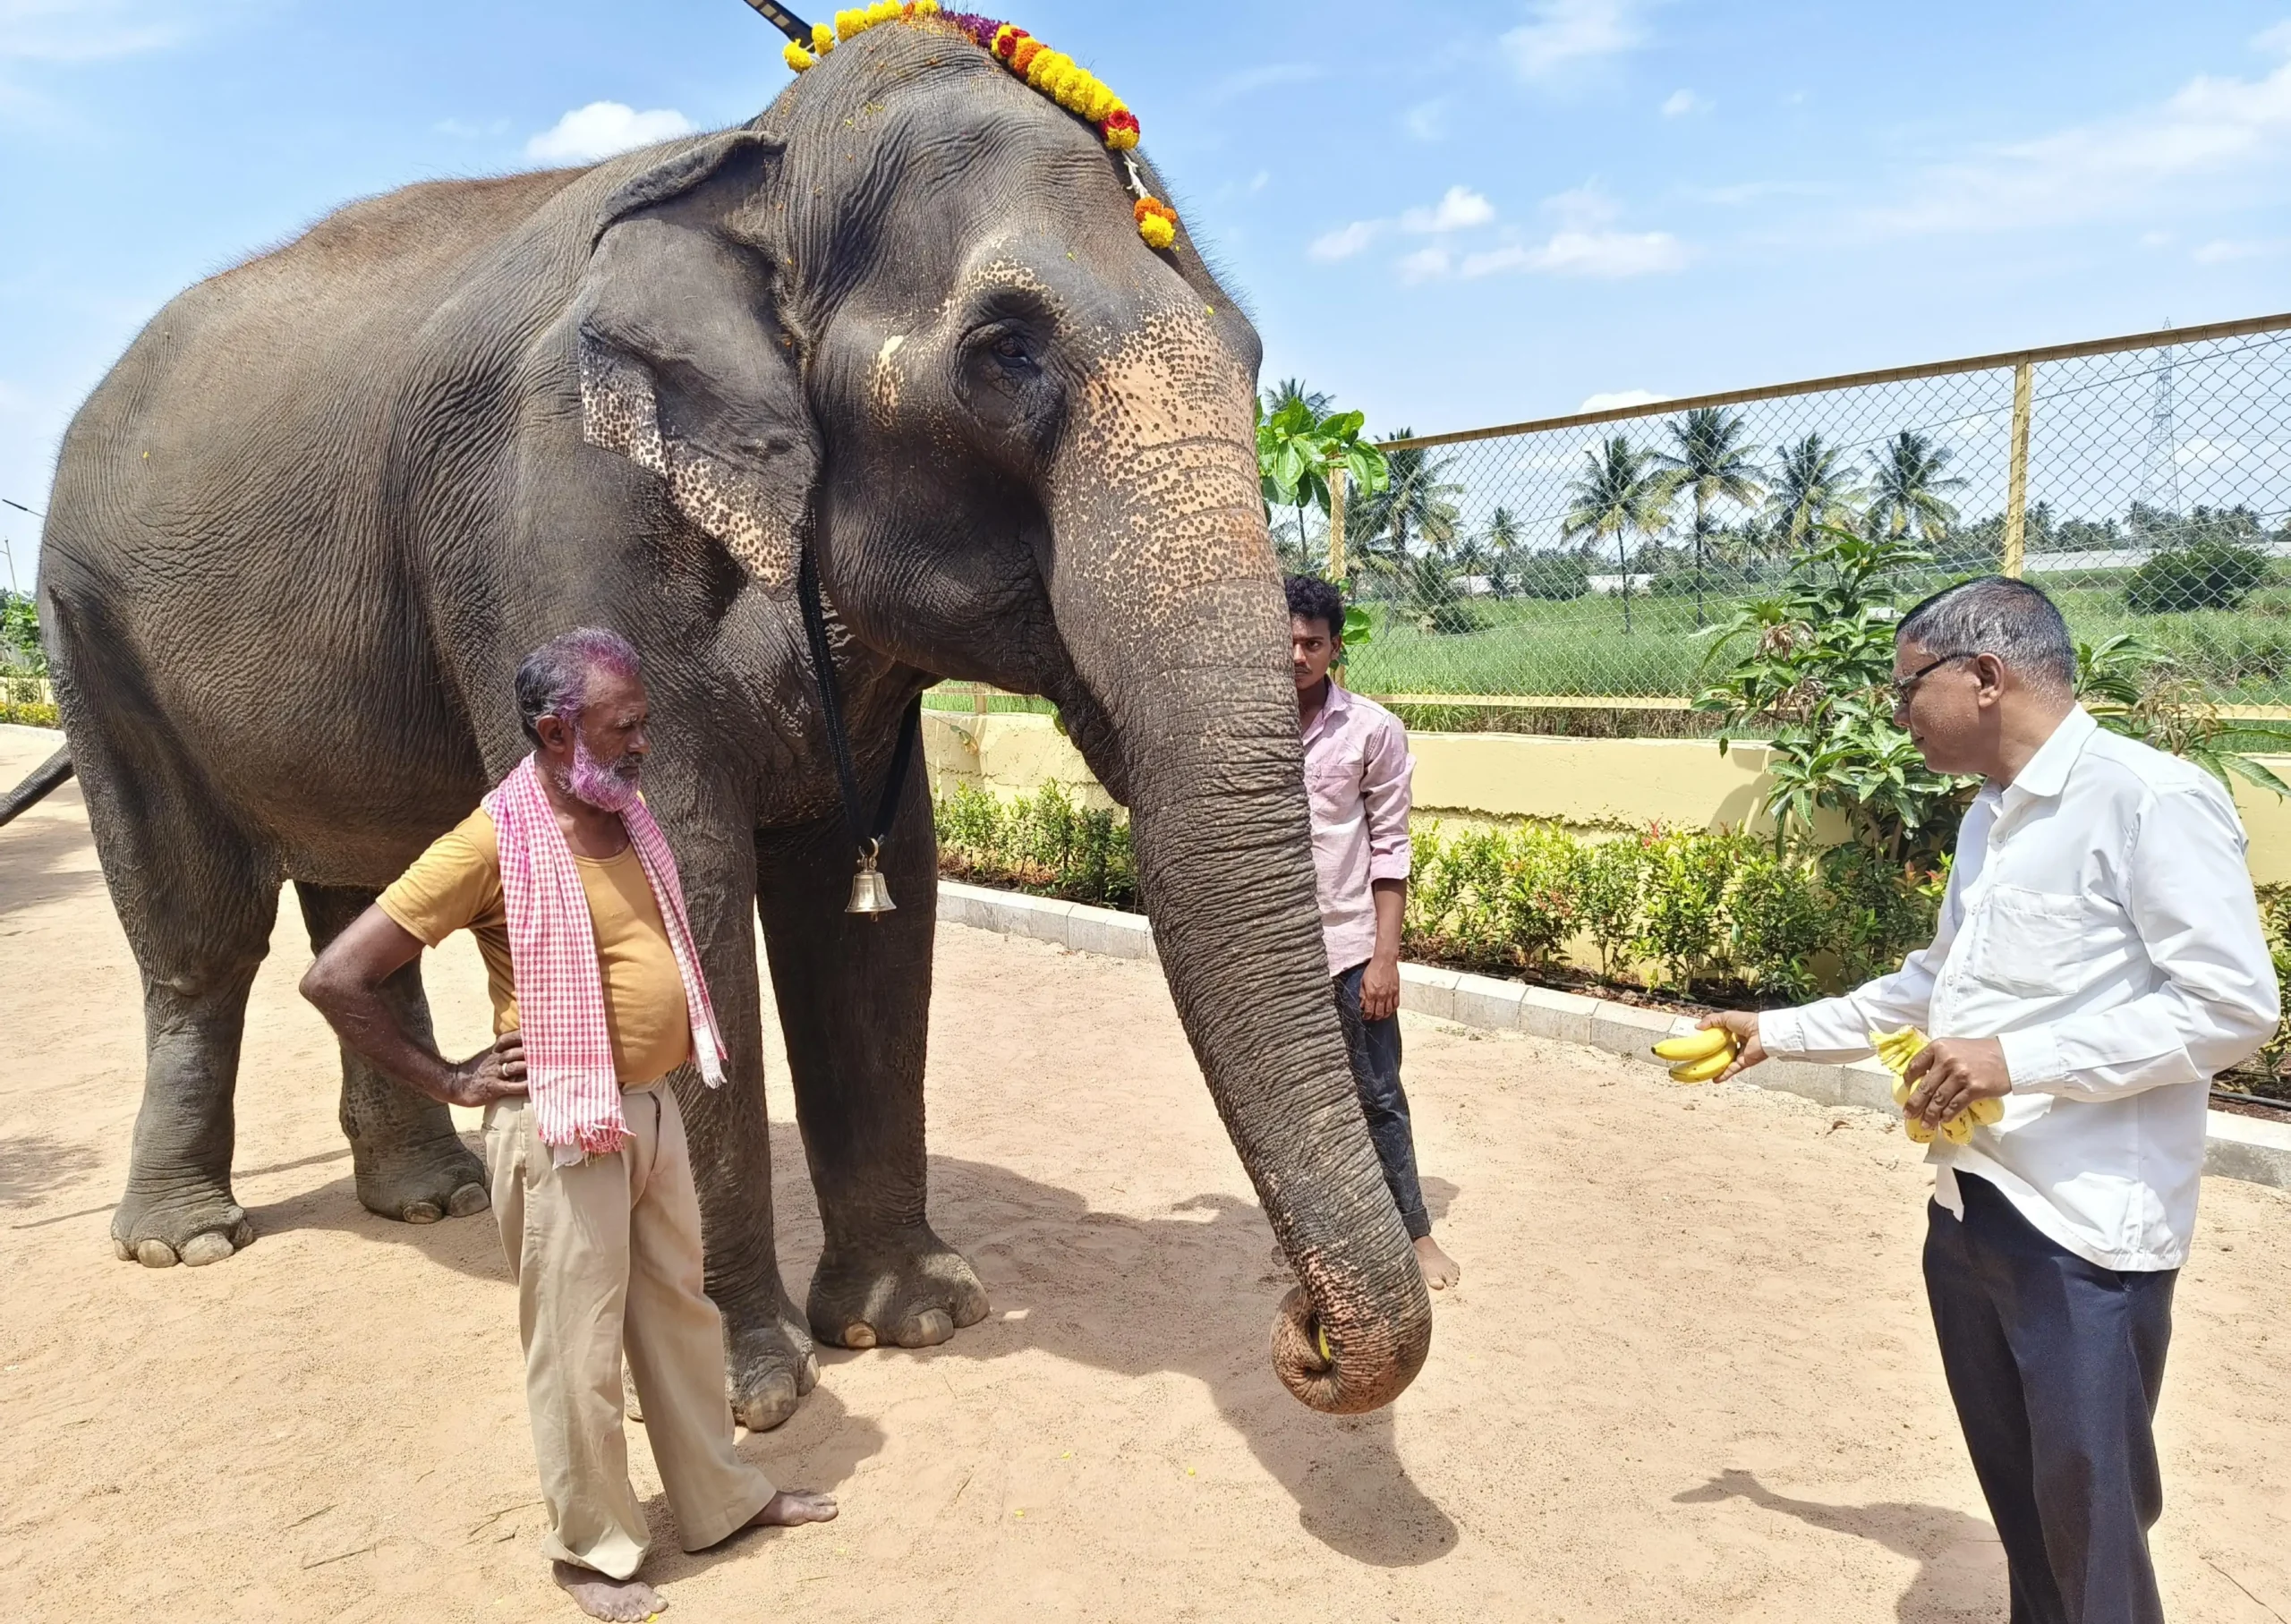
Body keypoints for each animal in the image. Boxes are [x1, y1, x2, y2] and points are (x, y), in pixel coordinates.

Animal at [12, 16, 1431, 1426]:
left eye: (1250, 360)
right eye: (1002, 352)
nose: (1303, 1329)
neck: (763, 166)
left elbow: (876, 895)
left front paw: (915, 1319)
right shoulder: (556, 511)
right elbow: (677, 875)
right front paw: (740, 1390)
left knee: (356, 886)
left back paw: (431, 1197)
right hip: (89, 632)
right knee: (199, 935)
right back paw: (187, 1237)